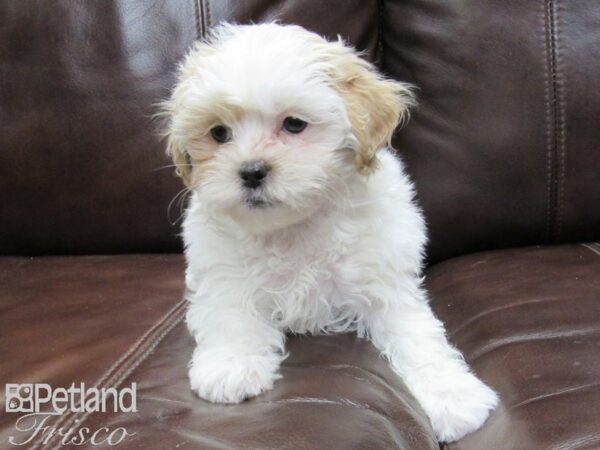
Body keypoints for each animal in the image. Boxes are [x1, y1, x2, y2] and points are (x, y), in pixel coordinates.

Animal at [162, 22, 500, 442]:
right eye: (219, 133)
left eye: (294, 124)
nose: (251, 171)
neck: (295, 225)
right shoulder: (222, 270)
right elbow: (231, 313)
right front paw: (231, 366)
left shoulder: (384, 278)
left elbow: (418, 335)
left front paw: (454, 395)